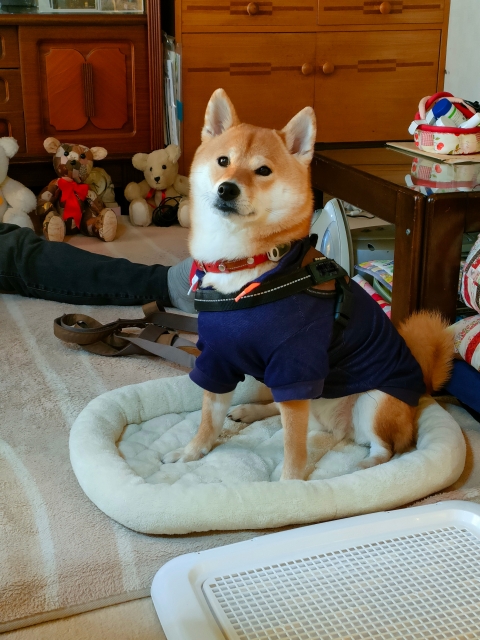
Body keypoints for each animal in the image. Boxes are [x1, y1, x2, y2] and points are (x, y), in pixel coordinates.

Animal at [162, 88, 453, 480]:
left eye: (263, 171)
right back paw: (252, 411)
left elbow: (293, 444)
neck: (245, 265)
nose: (227, 189)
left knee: (386, 448)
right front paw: (191, 453)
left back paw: (361, 468)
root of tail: (423, 389)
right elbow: (209, 421)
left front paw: (290, 483)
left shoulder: (295, 366)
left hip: (374, 400)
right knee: (298, 417)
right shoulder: (218, 359)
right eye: (223, 161)